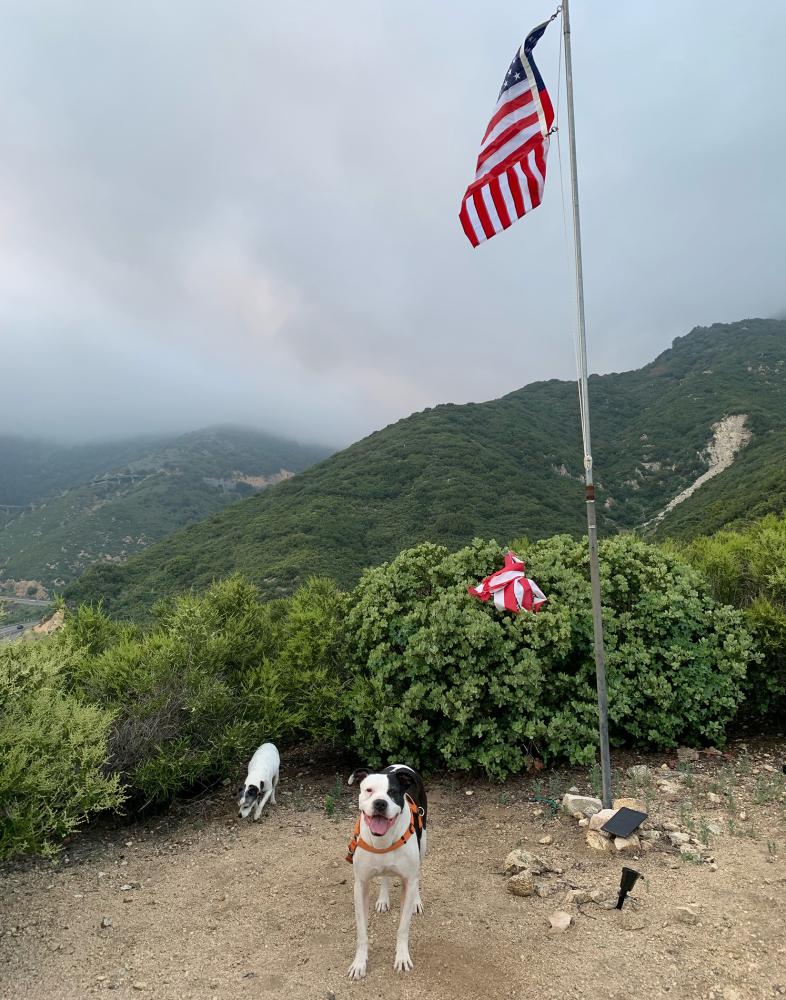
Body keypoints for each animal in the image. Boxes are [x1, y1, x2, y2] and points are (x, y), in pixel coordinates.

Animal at [346, 763, 428, 980]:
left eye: (393, 792)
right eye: (369, 790)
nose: (380, 803)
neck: (382, 841)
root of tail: (401, 765)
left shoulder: (408, 879)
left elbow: (403, 928)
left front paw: (402, 957)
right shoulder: (360, 885)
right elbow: (362, 932)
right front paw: (359, 963)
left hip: (423, 843)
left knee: (418, 875)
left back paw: (417, 901)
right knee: (385, 877)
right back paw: (383, 899)